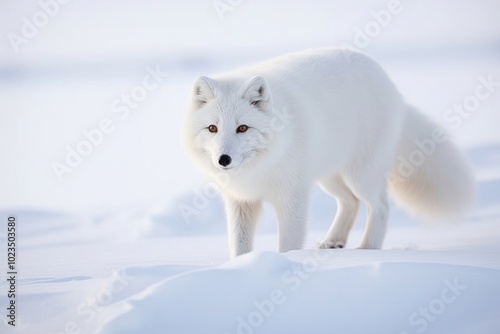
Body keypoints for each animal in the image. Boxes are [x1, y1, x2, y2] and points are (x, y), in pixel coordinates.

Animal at [182, 47, 474, 258]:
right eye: (212, 128)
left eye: (242, 128)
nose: (223, 160)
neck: (259, 168)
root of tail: (391, 85)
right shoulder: (240, 201)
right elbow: (239, 246)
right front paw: (239, 268)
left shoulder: (293, 197)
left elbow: (288, 244)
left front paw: (283, 265)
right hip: (330, 177)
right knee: (350, 203)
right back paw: (334, 242)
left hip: (360, 175)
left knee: (380, 206)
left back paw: (368, 249)